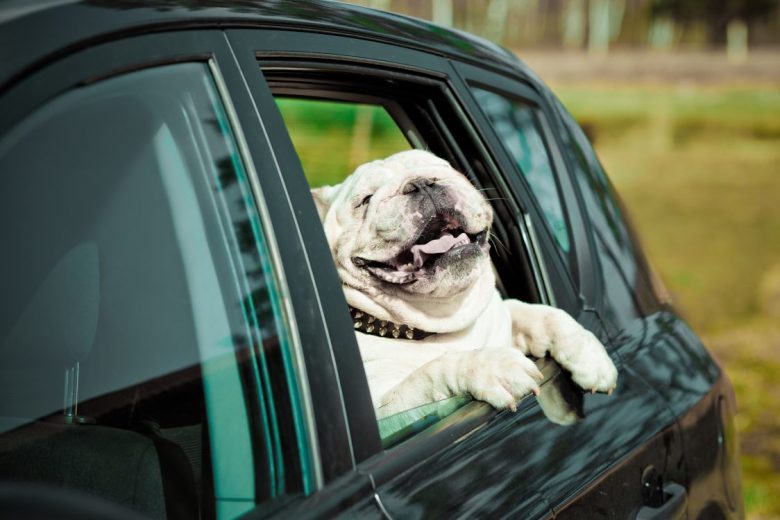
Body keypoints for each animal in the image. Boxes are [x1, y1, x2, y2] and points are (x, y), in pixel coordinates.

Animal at [310, 149, 616, 418]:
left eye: (445, 170)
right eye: (365, 200)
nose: (422, 183)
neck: (439, 319)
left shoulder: (502, 313)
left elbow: (541, 313)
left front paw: (589, 354)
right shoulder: (387, 412)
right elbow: (432, 370)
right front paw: (494, 367)